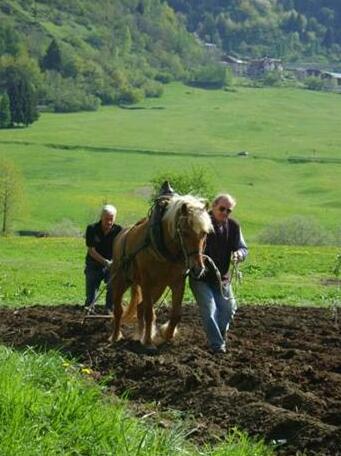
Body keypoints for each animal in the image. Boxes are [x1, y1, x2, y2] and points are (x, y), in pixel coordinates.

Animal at [108, 192, 212, 352]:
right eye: (184, 232)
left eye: (204, 233)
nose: (198, 268)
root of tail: (121, 235)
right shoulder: (146, 283)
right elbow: (150, 314)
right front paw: (148, 343)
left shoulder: (177, 283)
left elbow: (176, 314)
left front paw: (166, 335)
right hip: (121, 280)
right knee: (119, 310)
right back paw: (115, 337)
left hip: (158, 288)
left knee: (139, 307)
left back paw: (139, 335)